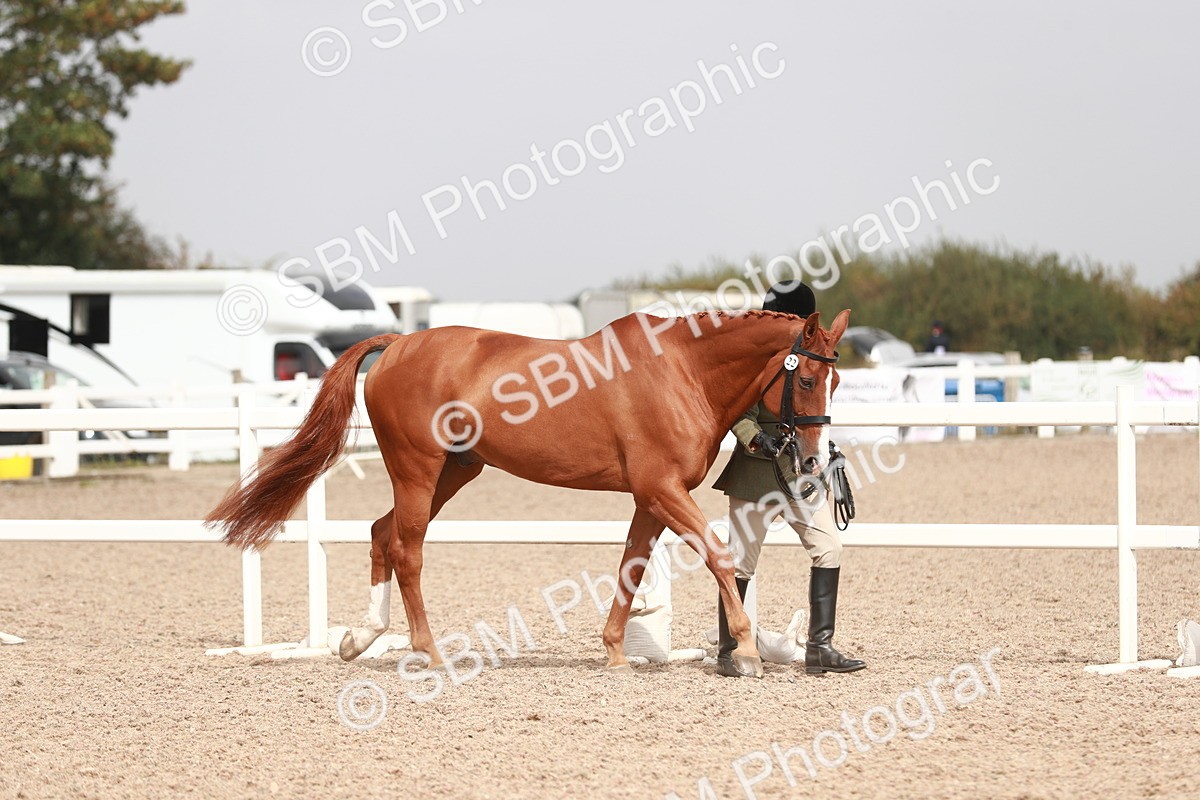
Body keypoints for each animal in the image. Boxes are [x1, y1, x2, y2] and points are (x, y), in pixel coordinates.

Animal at [205, 307, 850, 678]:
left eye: (838, 379)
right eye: (807, 378)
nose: (814, 461)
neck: (681, 371)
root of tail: (398, 345)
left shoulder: (649, 498)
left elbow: (631, 566)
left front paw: (616, 653)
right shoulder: (663, 490)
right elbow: (716, 557)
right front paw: (746, 651)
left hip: (455, 472)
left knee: (382, 533)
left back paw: (361, 638)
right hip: (418, 468)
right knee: (408, 548)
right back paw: (428, 653)